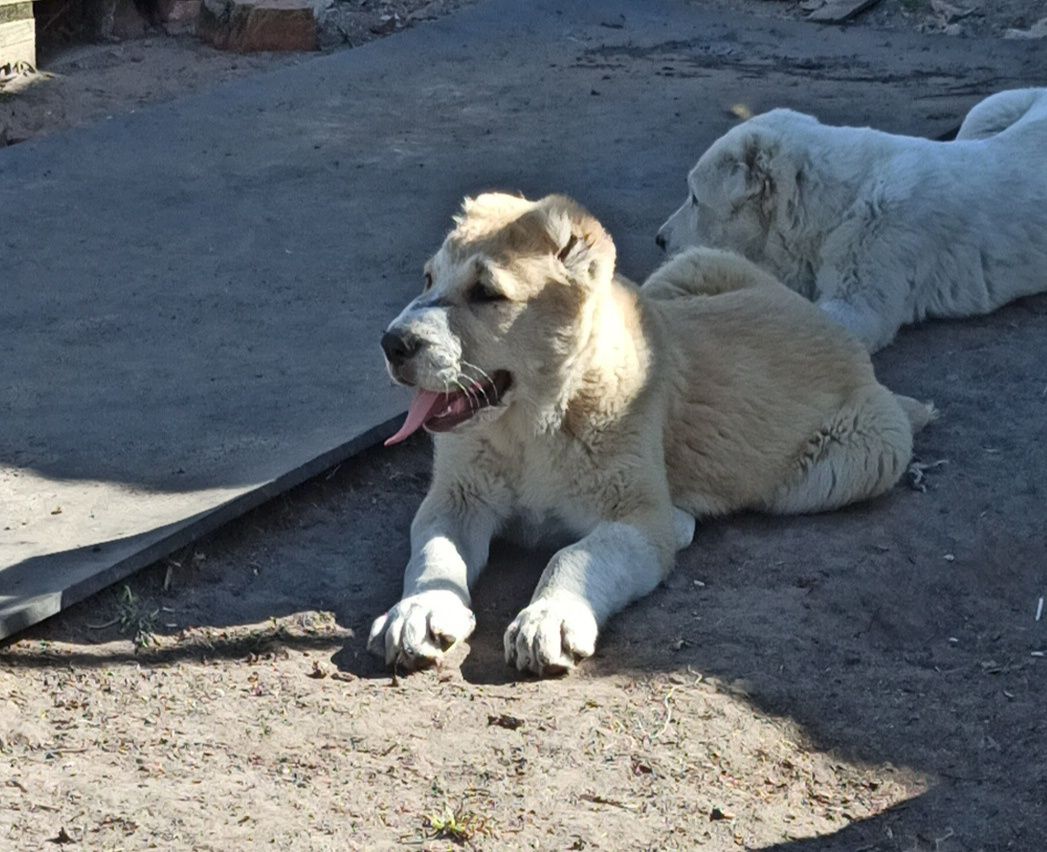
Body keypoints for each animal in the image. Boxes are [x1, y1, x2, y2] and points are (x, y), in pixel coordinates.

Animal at [366, 194, 933, 682]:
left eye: (487, 294)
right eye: (428, 278)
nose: (392, 343)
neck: (534, 423)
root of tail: (835, 328)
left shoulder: (636, 518)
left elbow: (574, 555)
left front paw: (550, 616)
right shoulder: (455, 499)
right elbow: (434, 554)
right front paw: (418, 609)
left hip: (853, 461)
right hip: (689, 268)